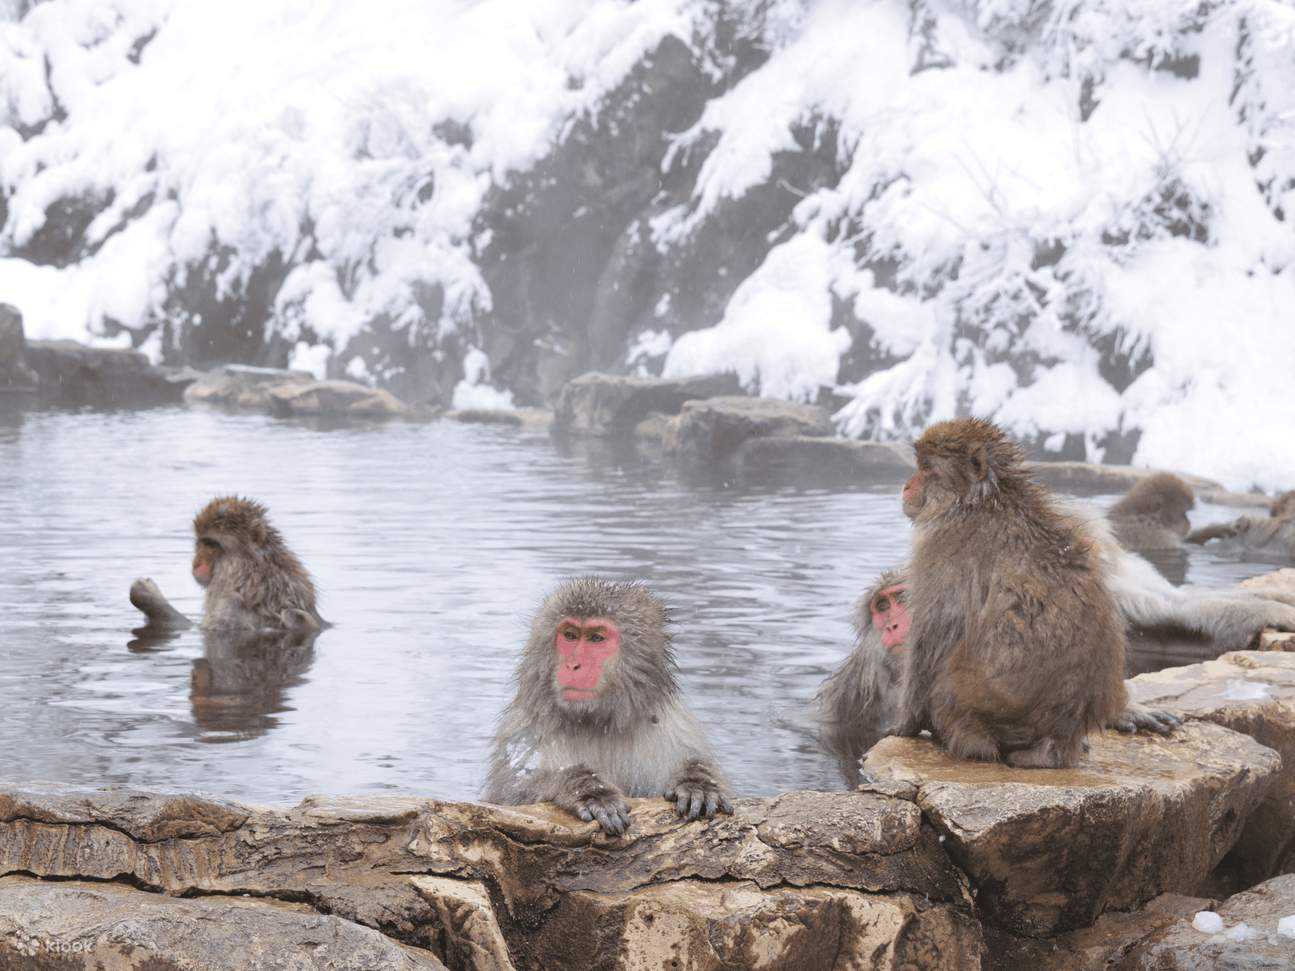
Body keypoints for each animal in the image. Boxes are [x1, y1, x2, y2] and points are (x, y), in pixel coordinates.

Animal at [483, 579, 733, 835]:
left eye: (596, 638)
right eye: (570, 635)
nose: (573, 665)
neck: (599, 721)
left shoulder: (674, 727)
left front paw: (697, 781)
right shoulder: (524, 732)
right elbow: (509, 800)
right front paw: (588, 790)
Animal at [895, 418, 1128, 768]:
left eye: (926, 469)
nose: (906, 486)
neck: (979, 500)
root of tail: (1059, 738)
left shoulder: (941, 549)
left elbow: (932, 634)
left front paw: (903, 725)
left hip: (979, 706)